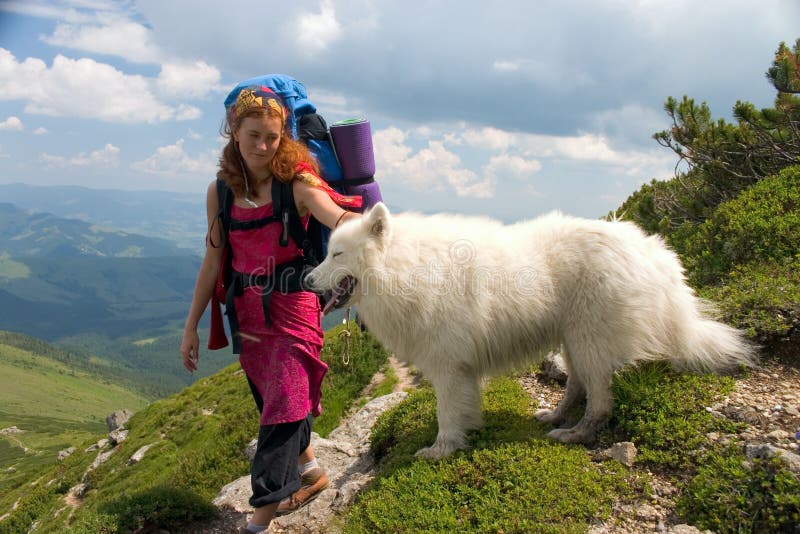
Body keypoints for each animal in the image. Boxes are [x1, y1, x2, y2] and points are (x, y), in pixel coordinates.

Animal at [304, 204, 756, 460]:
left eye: (337, 254)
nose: (306, 279)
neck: (406, 267)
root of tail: (652, 252)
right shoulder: (459, 369)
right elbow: (463, 409)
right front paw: (463, 437)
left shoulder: (448, 367)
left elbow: (447, 414)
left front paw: (440, 450)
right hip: (574, 340)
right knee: (576, 386)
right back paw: (554, 415)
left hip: (590, 341)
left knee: (600, 401)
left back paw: (575, 434)